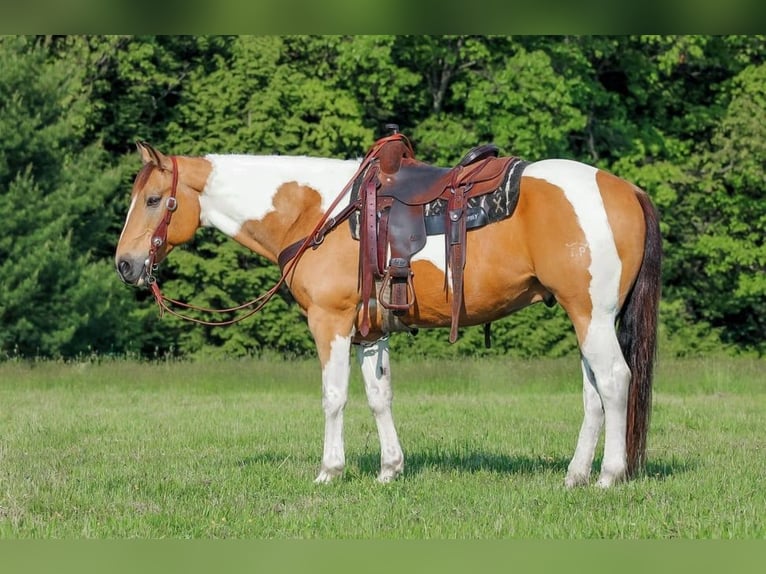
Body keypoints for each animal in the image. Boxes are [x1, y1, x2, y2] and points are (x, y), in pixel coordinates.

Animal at [115, 134, 661, 488]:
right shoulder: (370, 331)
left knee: (614, 381)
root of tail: (624, 188)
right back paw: (575, 476)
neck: (317, 213)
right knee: (593, 392)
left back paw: (609, 476)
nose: (125, 264)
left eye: (154, 199)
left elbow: (334, 397)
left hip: (592, 316)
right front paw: (389, 470)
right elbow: (380, 397)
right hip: (587, 319)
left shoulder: (331, 324)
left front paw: (329, 472)